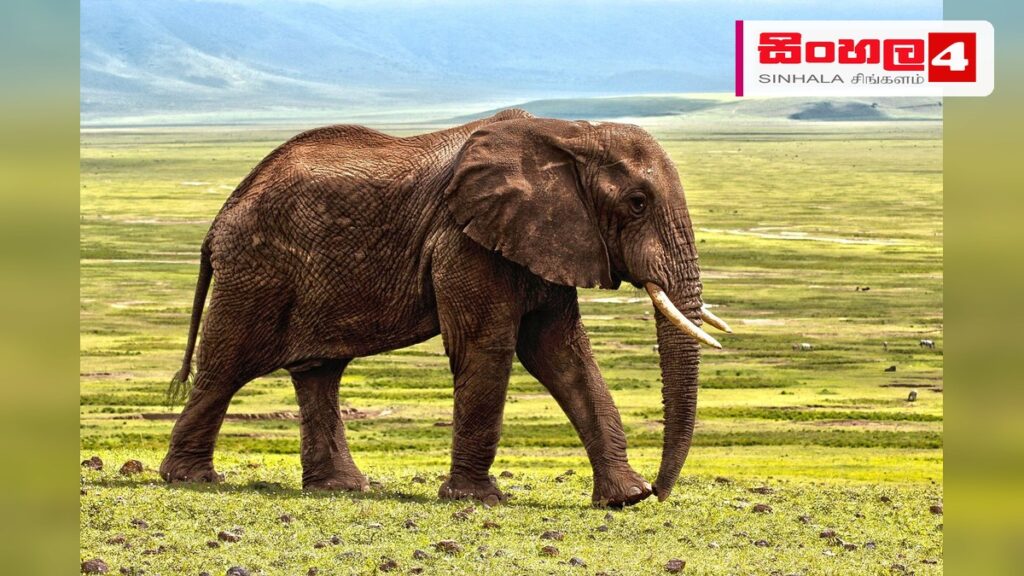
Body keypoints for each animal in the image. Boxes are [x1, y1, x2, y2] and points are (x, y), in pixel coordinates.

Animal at [159, 108, 731, 507]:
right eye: (637, 203)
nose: (660, 491)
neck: (569, 133)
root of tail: (220, 216)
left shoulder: (544, 238)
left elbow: (562, 354)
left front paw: (624, 499)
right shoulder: (464, 240)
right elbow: (488, 347)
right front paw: (479, 500)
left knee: (318, 372)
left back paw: (341, 489)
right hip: (256, 269)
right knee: (227, 365)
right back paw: (191, 479)